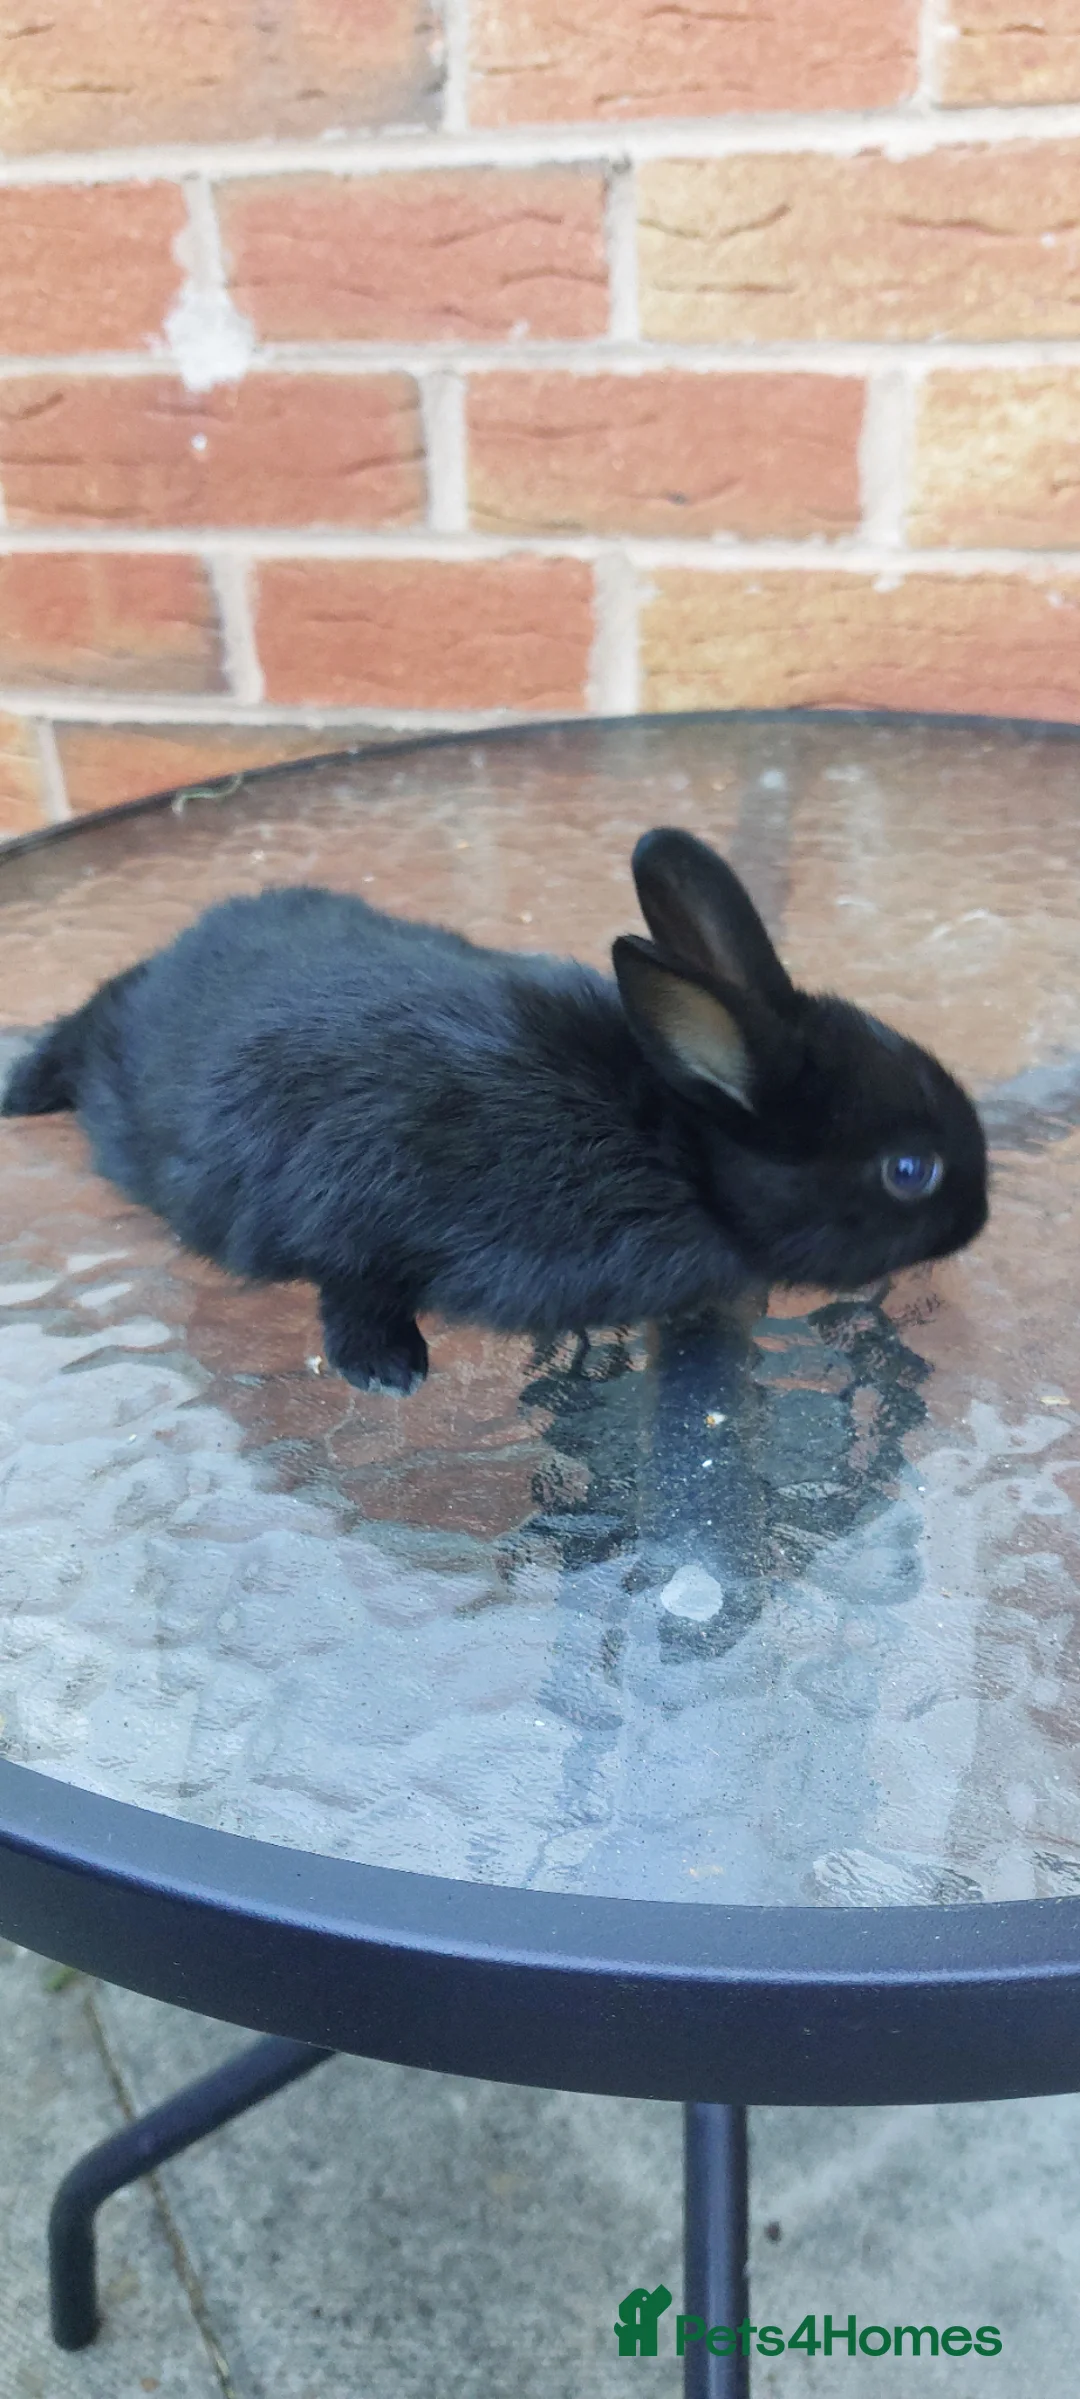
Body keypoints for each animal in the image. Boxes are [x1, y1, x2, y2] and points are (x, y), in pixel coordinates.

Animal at [2, 828, 988, 1395]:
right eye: (911, 1171)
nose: (977, 1219)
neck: (672, 1146)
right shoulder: (354, 1209)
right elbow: (351, 1285)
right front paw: (388, 1370)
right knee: (85, 1023)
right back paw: (21, 1086)